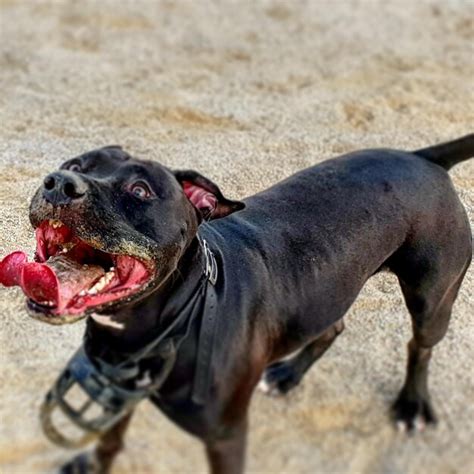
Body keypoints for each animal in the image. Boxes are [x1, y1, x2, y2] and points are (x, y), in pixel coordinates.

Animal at [0, 134, 470, 474]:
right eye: (76, 165)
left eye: (140, 189)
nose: (60, 182)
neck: (172, 321)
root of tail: (422, 157)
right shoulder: (119, 391)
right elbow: (110, 439)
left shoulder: (225, 436)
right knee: (334, 325)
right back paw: (287, 376)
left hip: (432, 299)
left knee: (419, 347)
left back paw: (411, 405)